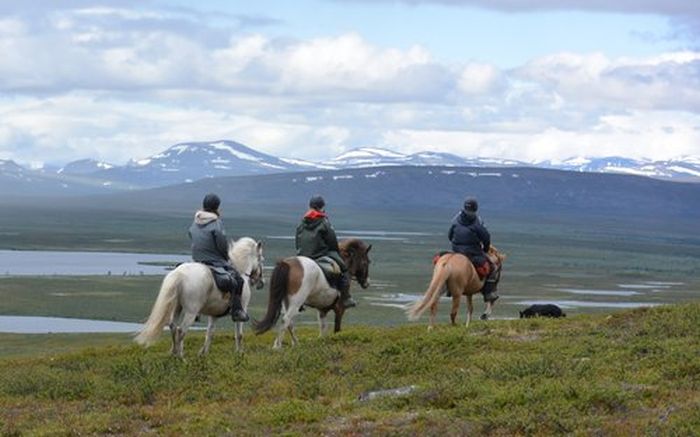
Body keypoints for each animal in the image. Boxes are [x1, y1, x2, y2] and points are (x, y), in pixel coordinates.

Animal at [133, 237, 264, 356]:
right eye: (261, 259)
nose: (261, 283)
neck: (241, 272)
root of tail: (179, 274)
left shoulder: (214, 314)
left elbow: (209, 333)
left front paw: (203, 353)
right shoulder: (242, 309)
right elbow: (239, 334)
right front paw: (240, 353)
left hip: (177, 307)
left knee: (173, 326)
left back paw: (173, 353)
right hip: (191, 311)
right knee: (181, 330)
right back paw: (181, 357)